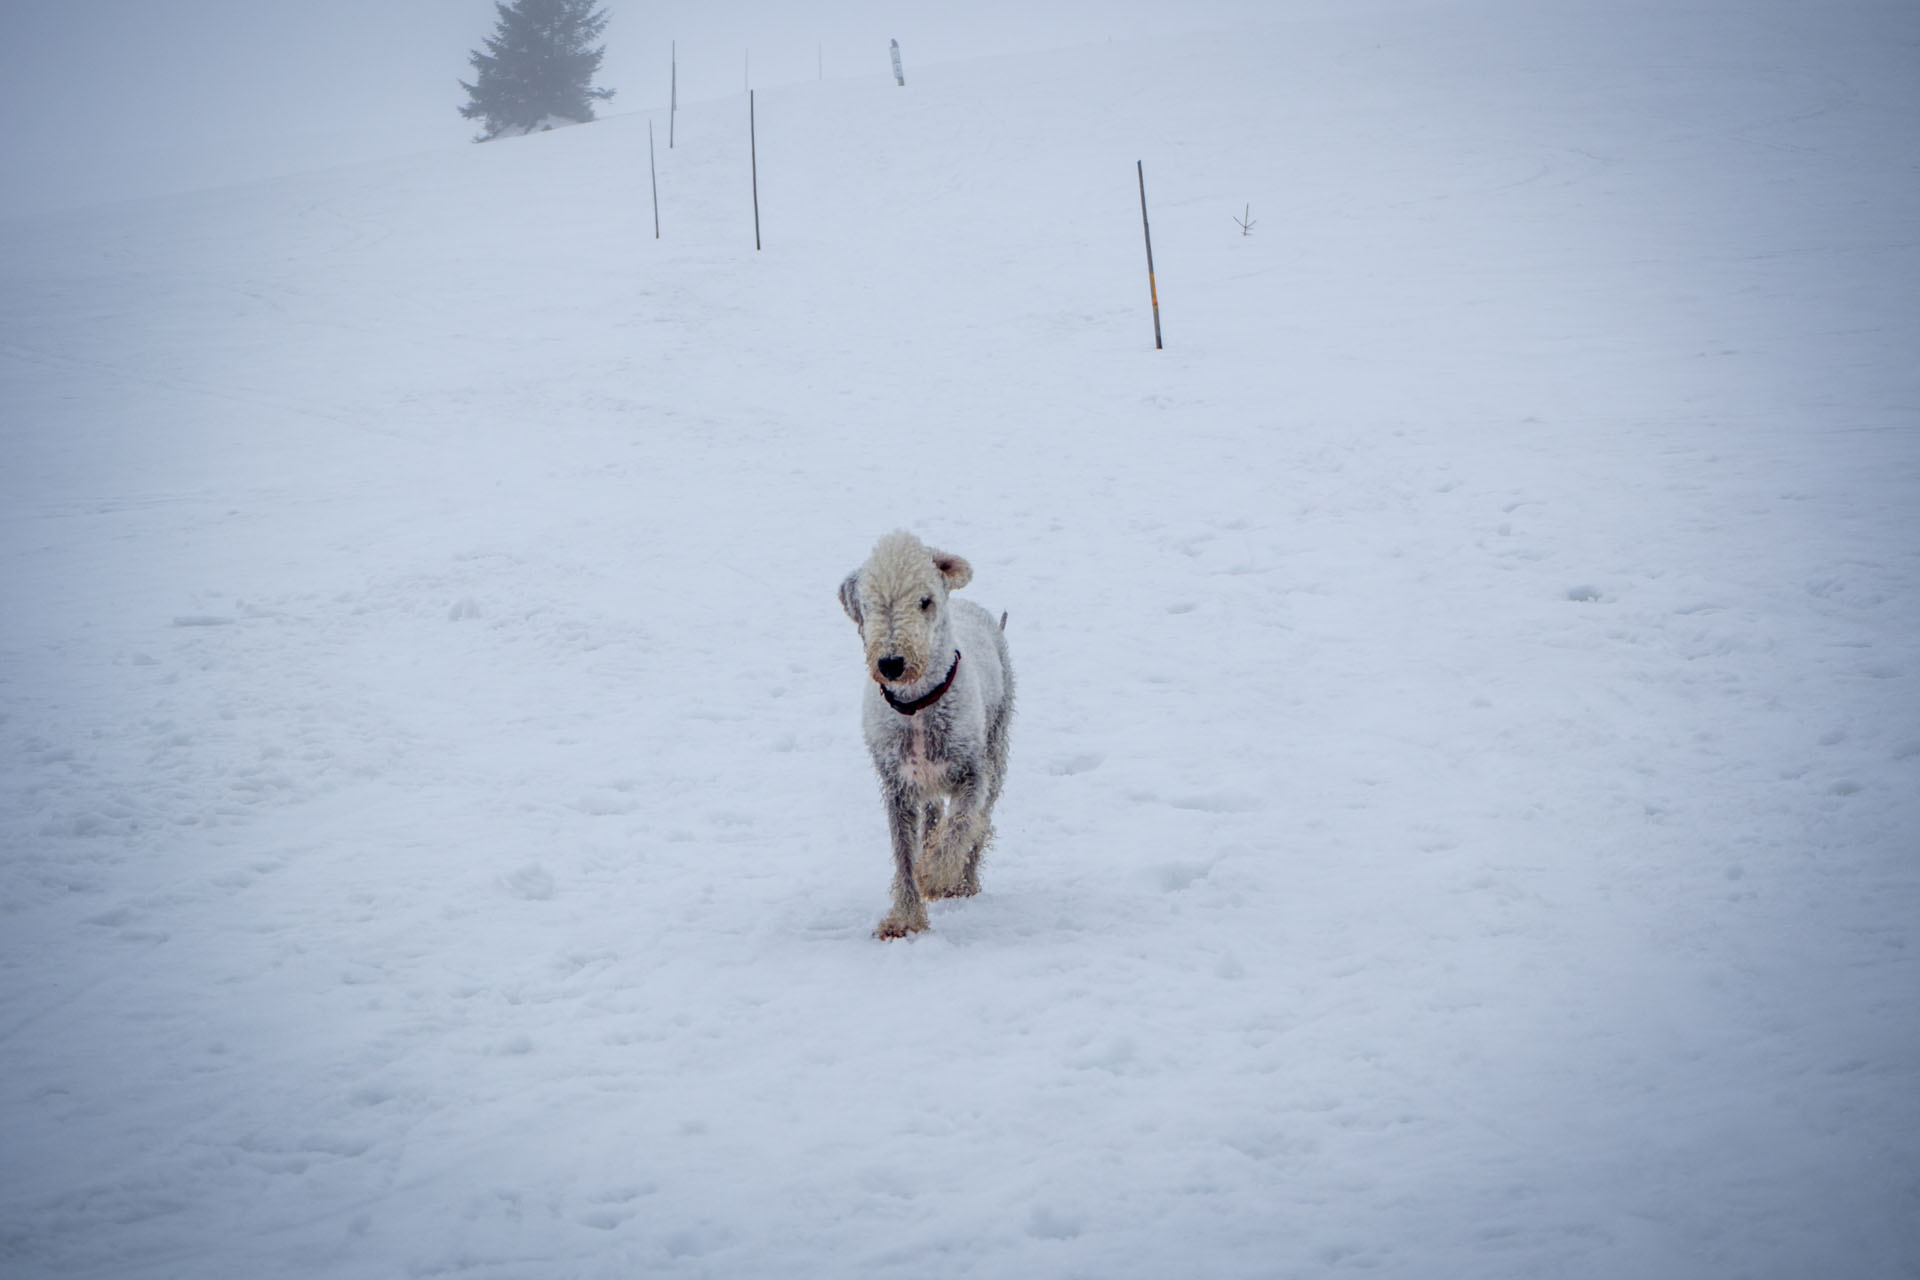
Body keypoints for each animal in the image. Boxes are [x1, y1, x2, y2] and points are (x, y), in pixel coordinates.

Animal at [844, 529, 1021, 940]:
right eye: (869, 604)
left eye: (925, 601)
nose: (891, 663)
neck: (918, 705)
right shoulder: (897, 786)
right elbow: (904, 855)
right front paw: (905, 920)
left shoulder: (973, 773)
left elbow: (962, 825)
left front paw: (938, 877)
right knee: (935, 815)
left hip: (997, 746)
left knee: (979, 824)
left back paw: (963, 882)